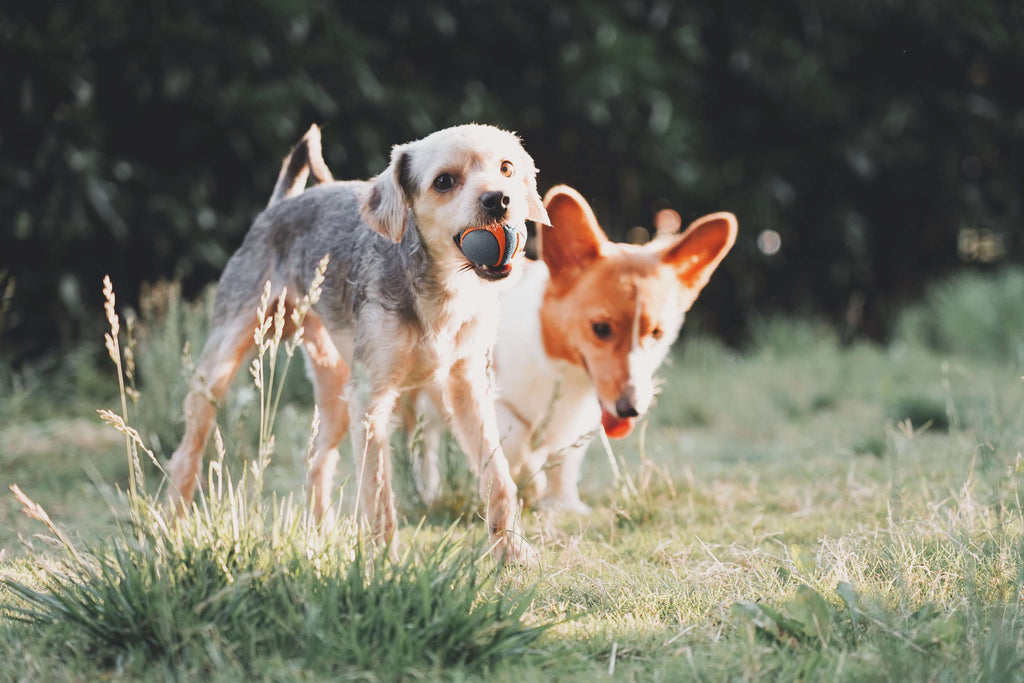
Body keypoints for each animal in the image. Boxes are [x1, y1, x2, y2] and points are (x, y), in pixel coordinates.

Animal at [167, 125, 548, 565]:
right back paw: (170, 529)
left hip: (335, 393)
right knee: (187, 453)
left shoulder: (467, 388)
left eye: (507, 168)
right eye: (444, 182)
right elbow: (378, 494)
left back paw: (318, 536)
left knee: (316, 461)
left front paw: (511, 550)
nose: (498, 200)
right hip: (220, 370)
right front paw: (384, 564)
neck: (441, 286)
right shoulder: (371, 400)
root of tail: (280, 204)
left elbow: (498, 475)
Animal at [411, 184, 733, 509]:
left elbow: (565, 462)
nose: (631, 410)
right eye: (601, 329)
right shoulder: (489, 400)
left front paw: (563, 503)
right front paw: (533, 482)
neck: (559, 365)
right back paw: (427, 492)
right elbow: (516, 443)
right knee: (423, 444)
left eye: (656, 333)